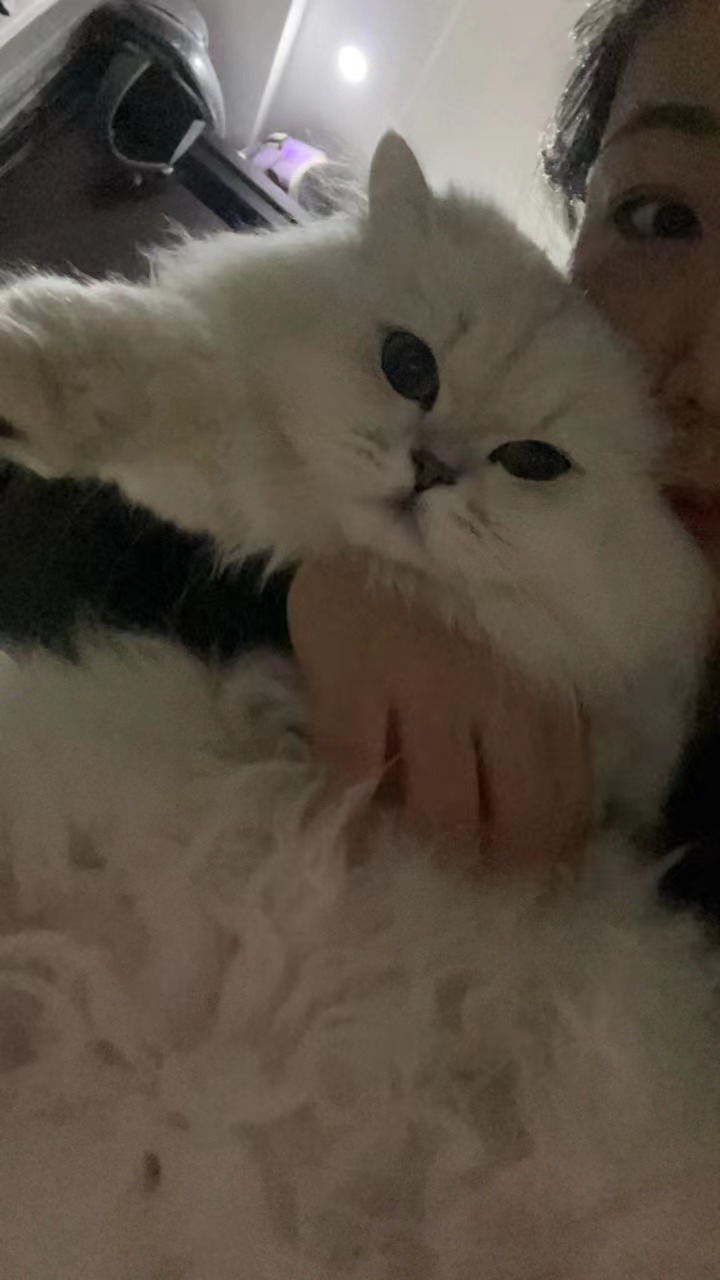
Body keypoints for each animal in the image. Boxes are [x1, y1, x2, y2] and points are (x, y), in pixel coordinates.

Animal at [0, 133, 716, 1278]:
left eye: (533, 463)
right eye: (409, 367)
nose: (431, 468)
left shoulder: (614, 733)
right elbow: (175, 387)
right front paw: (27, 370)